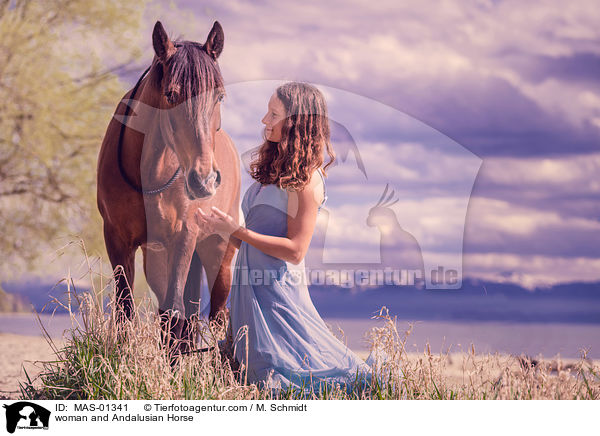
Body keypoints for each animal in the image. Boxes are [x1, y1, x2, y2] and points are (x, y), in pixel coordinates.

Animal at [96, 19, 239, 354]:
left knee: (217, 316)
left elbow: (174, 316)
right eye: (171, 95)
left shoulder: (183, 236)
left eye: (219, 97)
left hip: (219, 254)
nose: (205, 180)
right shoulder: (117, 240)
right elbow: (126, 309)